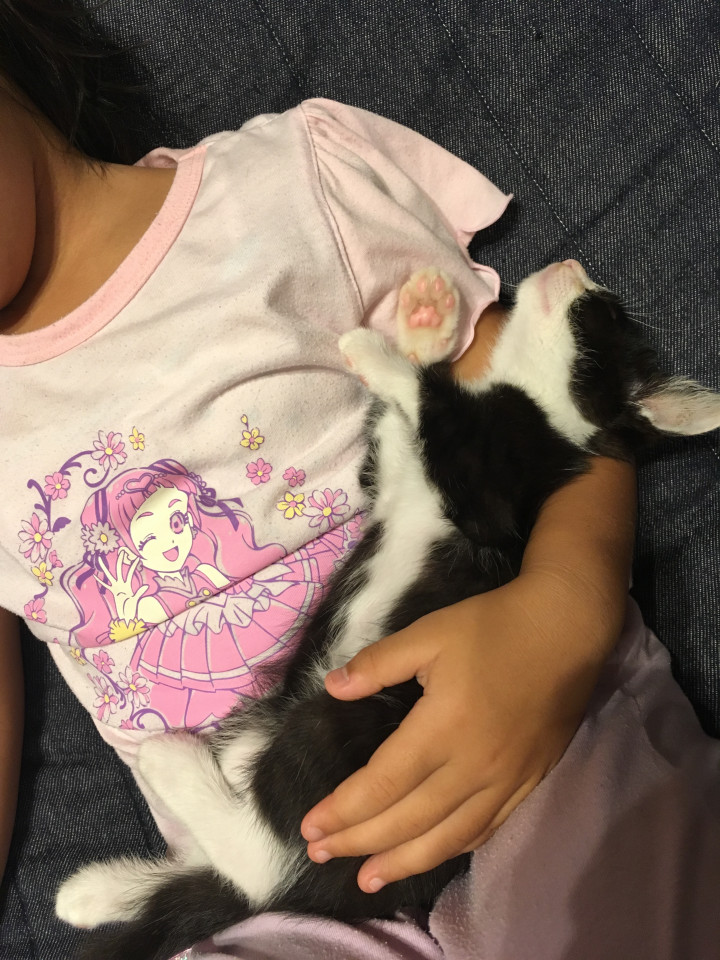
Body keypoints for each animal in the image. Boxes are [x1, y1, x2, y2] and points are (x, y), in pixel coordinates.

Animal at [57, 260, 720, 960]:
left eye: (600, 314)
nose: (575, 268)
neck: (534, 411)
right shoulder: (390, 470)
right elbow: (394, 433)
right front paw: (427, 321)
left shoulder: (488, 489)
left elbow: (433, 410)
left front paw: (388, 350)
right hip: (275, 713)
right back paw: (97, 891)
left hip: (342, 723)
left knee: (263, 861)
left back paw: (169, 767)